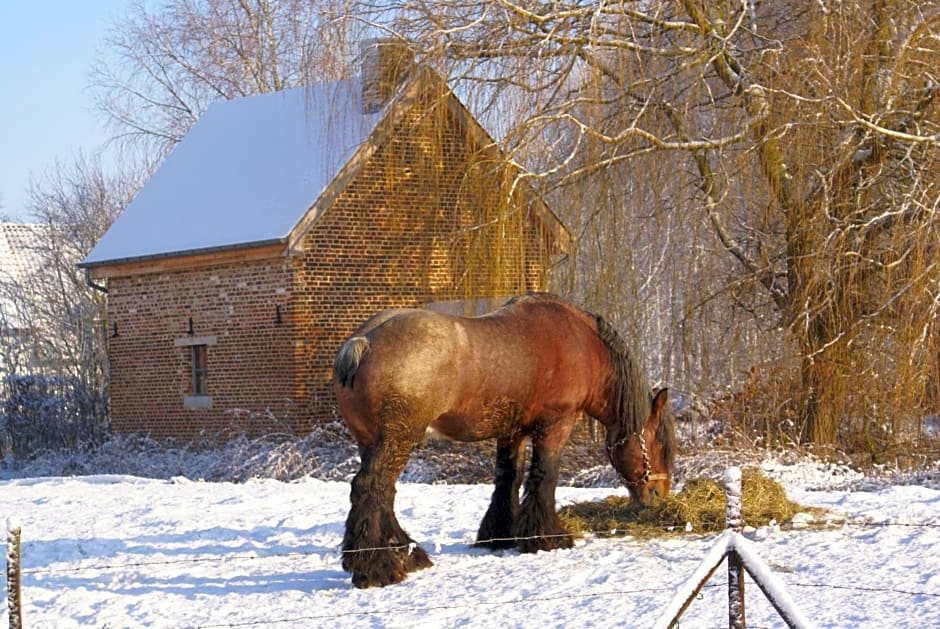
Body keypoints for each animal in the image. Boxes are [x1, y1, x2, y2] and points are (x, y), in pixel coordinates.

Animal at [332, 292, 676, 588]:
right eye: (659, 444)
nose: (658, 494)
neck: (582, 343)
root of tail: (364, 342)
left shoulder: (512, 431)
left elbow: (508, 478)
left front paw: (500, 535)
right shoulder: (556, 425)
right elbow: (544, 477)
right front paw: (548, 537)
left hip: (372, 443)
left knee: (381, 494)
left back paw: (405, 554)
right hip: (396, 441)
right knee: (372, 489)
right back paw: (379, 568)